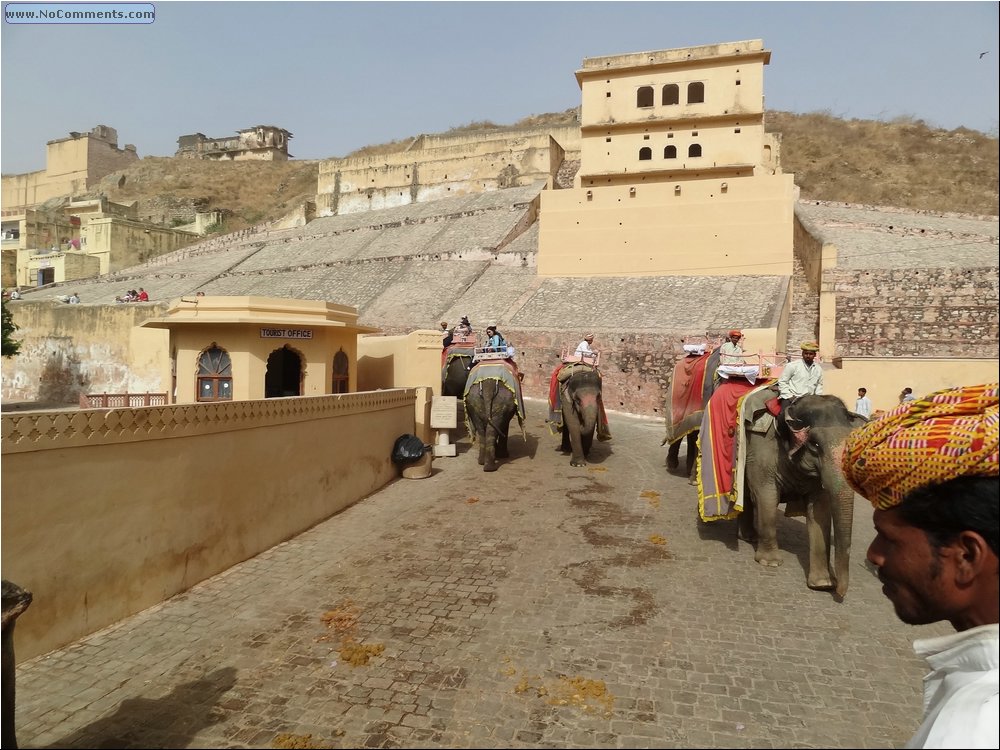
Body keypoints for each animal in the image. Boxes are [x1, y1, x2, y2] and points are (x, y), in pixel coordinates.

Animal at [736, 390, 868, 604]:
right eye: (815, 444)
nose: (840, 595)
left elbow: (820, 510)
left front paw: (822, 584)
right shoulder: (762, 450)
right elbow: (766, 495)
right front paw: (770, 563)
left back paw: (750, 537)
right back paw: (749, 537)